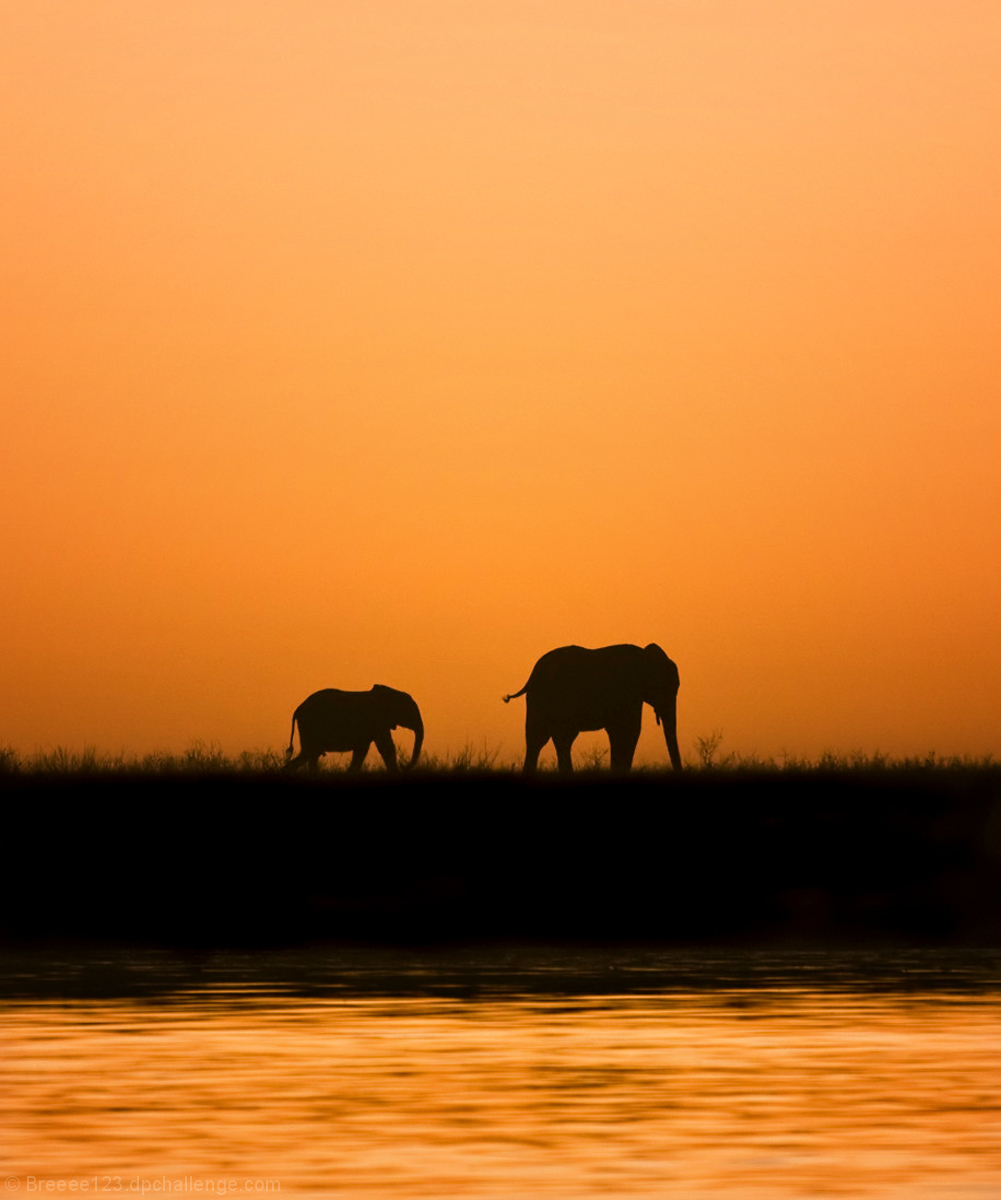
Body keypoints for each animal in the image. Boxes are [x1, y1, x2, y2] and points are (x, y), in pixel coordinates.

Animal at [283, 691, 422, 772]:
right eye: (410, 711)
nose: (405, 766)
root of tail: (297, 709)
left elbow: (384, 748)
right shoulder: (375, 721)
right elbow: (377, 748)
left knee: (311, 755)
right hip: (310, 726)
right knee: (310, 753)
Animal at [504, 643, 681, 772]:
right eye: (671, 688)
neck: (645, 656)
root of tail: (531, 677)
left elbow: (629, 731)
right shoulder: (625, 691)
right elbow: (626, 730)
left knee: (555, 739)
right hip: (543, 699)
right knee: (541, 738)